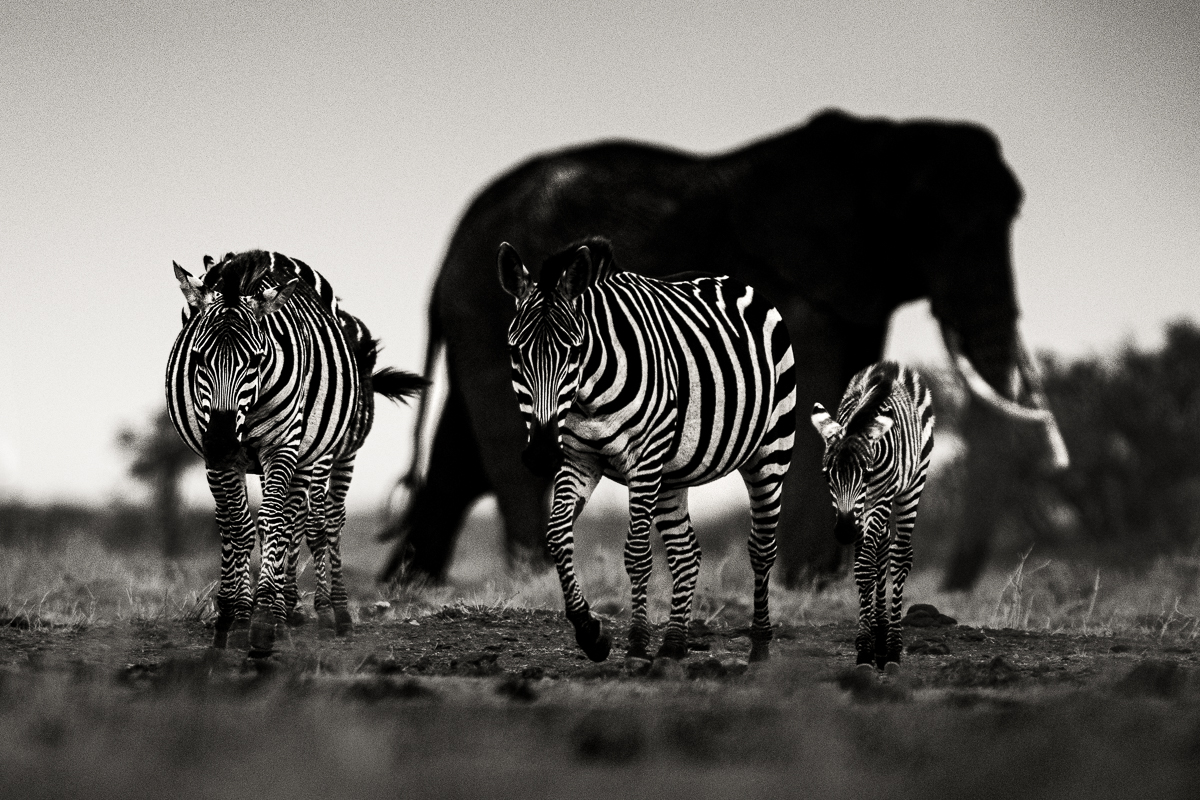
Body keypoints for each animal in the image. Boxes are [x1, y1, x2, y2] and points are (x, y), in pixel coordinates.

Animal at [167, 250, 359, 654]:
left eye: (256, 360)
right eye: (198, 358)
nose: (223, 444)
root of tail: (269, 254)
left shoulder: (281, 447)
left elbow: (274, 522)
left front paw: (264, 619)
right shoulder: (216, 457)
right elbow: (237, 526)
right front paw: (233, 618)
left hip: (312, 455)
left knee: (300, 521)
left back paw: (311, 614)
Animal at [498, 237, 796, 663]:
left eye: (574, 352)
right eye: (516, 353)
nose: (540, 455)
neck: (587, 397)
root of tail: (727, 279)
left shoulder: (643, 458)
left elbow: (637, 552)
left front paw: (637, 644)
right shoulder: (578, 459)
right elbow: (556, 536)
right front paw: (590, 632)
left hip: (770, 451)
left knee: (761, 547)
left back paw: (759, 646)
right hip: (671, 473)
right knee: (686, 552)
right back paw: (673, 645)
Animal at [809, 361, 934, 669]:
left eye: (865, 474)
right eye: (826, 476)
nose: (844, 532)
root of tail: (892, 366)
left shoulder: (882, 495)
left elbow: (869, 563)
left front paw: (872, 650)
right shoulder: (856, 513)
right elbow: (863, 567)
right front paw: (866, 646)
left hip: (912, 485)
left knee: (900, 555)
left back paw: (892, 649)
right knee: (882, 548)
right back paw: (880, 639)